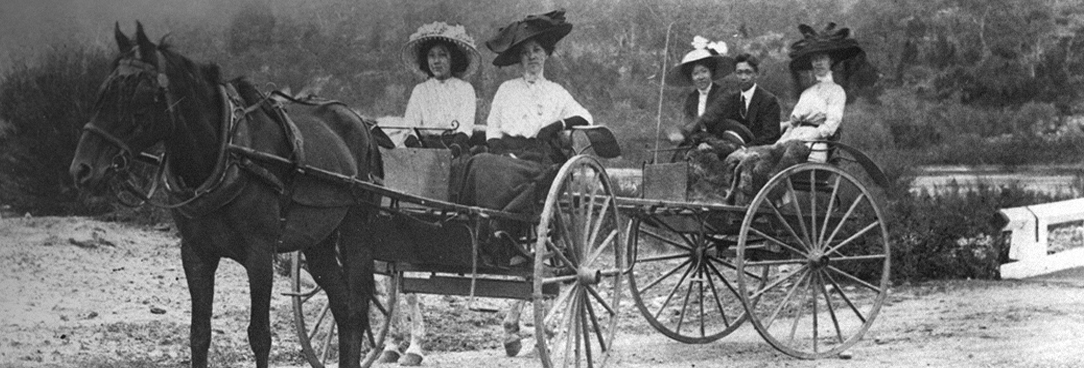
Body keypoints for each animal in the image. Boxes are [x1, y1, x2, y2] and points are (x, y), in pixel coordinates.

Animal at [66, 23, 385, 368]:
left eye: (138, 96)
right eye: (104, 91)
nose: (82, 169)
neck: (227, 152)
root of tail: (361, 121)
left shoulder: (260, 255)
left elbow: (260, 336)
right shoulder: (196, 254)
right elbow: (199, 335)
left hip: (358, 229)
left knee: (356, 308)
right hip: (319, 241)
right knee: (343, 309)